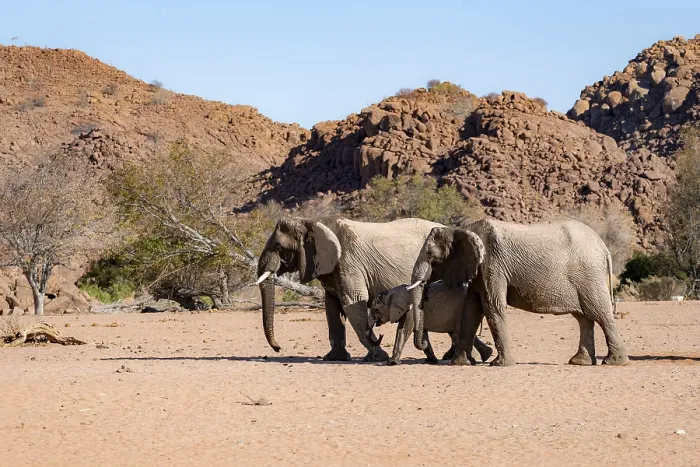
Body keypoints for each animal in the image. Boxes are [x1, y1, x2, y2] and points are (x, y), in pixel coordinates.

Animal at [255, 216, 443, 362]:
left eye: (279, 247)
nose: (278, 348)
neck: (313, 223)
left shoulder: (348, 262)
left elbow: (353, 302)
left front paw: (376, 358)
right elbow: (332, 308)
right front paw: (334, 358)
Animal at [407, 218, 630, 367]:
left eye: (431, 255)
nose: (424, 345)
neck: (462, 229)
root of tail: (604, 247)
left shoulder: (492, 264)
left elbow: (492, 307)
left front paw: (500, 364)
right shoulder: (479, 270)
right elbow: (472, 309)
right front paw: (461, 363)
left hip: (589, 275)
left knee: (600, 314)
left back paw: (614, 362)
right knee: (584, 318)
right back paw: (579, 362)